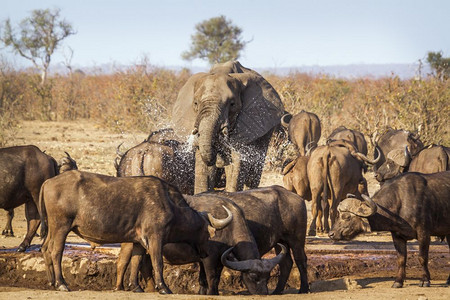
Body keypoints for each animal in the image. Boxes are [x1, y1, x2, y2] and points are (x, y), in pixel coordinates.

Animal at [38, 171, 232, 292]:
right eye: (206, 233)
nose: (205, 253)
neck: (170, 204)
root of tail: (48, 182)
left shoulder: (138, 241)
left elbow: (136, 261)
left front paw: (135, 286)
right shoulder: (155, 238)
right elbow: (157, 263)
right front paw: (163, 287)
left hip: (52, 229)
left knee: (45, 248)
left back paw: (51, 282)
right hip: (61, 227)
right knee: (56, 252)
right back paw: (62, 283)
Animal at [116, 193, 284, 294]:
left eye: (268, 277)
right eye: (253, 276)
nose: (263, 293)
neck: (229, 226)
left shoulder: (216, 258)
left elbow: (206, 278)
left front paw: (204, 292)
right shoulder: (210, 257)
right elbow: (212, 276)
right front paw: (213, 293)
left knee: (143, 265)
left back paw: (148, 288)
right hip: (129, 243)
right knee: (124, 262)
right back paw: (121, 286)